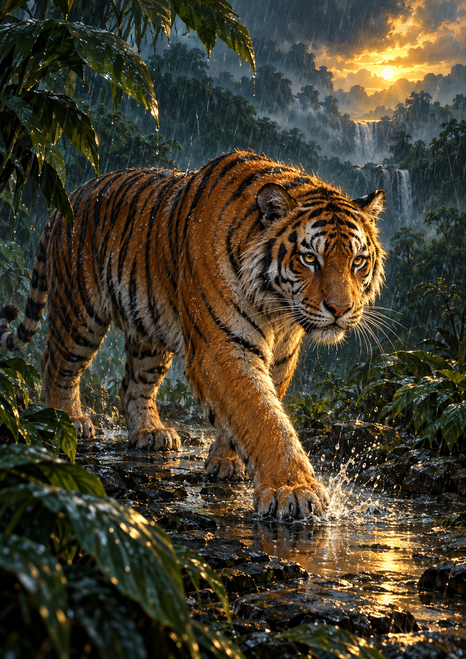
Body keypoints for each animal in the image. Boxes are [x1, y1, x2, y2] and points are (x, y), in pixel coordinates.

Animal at [0, 150, 386, 520]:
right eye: (309, 258)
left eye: (357, 261)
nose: (340, 308)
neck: (277, 307)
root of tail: (67, 198)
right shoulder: (221, 347)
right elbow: (263, 416)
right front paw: (294, 491)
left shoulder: (281, 356)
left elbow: (256, 410)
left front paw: (226, 461)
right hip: (80, 311)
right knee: (55, 364)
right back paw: (69, 422)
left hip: (148, 331)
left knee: (132, 385)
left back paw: (150, 433)